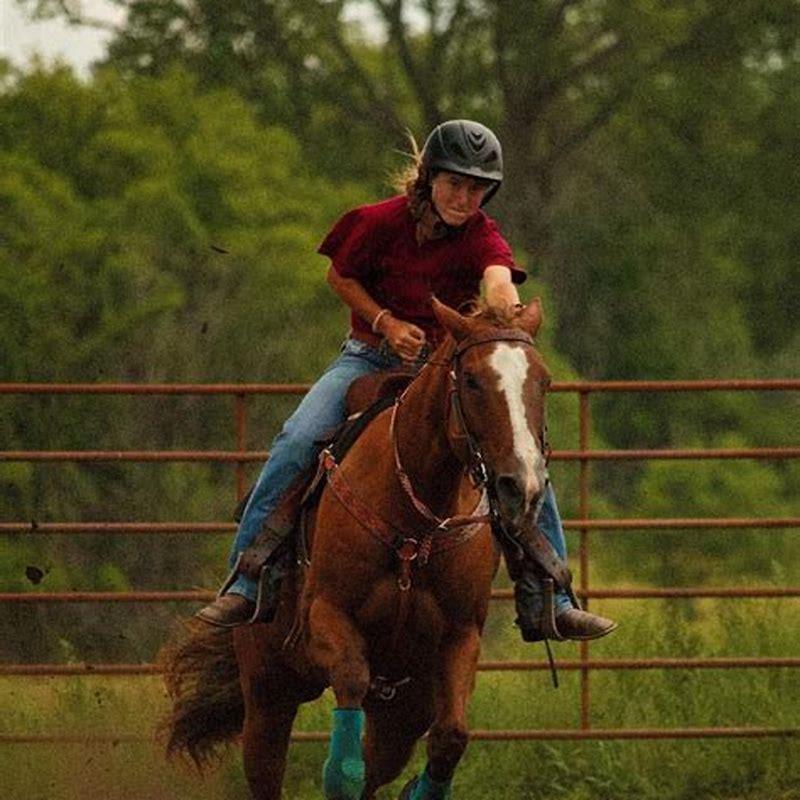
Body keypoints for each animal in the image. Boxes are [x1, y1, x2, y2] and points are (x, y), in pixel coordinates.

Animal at [162, 296, 552, 796]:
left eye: (543, 381)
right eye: (471, 379)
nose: (522, 485)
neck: (417, 522)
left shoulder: (460, 635)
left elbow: (450, 737)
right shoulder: (326, 616)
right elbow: (347, 722)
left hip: (403, 711)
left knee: (383, 762)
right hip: (268, 692)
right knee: (268, 767)